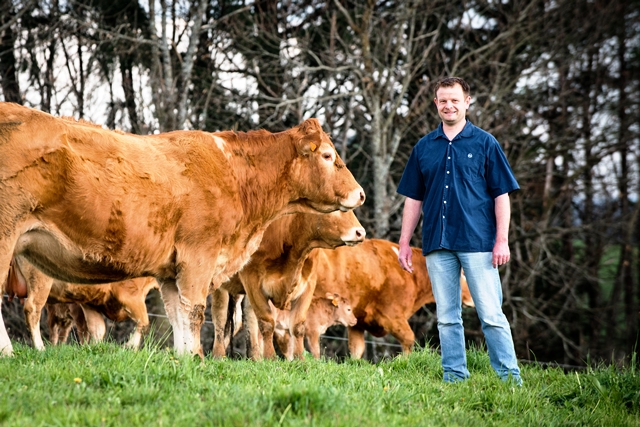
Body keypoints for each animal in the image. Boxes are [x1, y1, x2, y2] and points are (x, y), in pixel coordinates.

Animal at [16, 258, 159, 352]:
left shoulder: (90, 303)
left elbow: (98, 329)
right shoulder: (130, 294)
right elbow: (144, 322)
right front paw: (130, 346)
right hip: (40, 280)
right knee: (32, 309)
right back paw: (40, 348)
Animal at [306, 239, 476, 360]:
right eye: (463, 273)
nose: (472, 300)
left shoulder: (357, 322)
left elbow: (356, 350)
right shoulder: (391, 315)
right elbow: (409, 338)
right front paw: (404, 361)